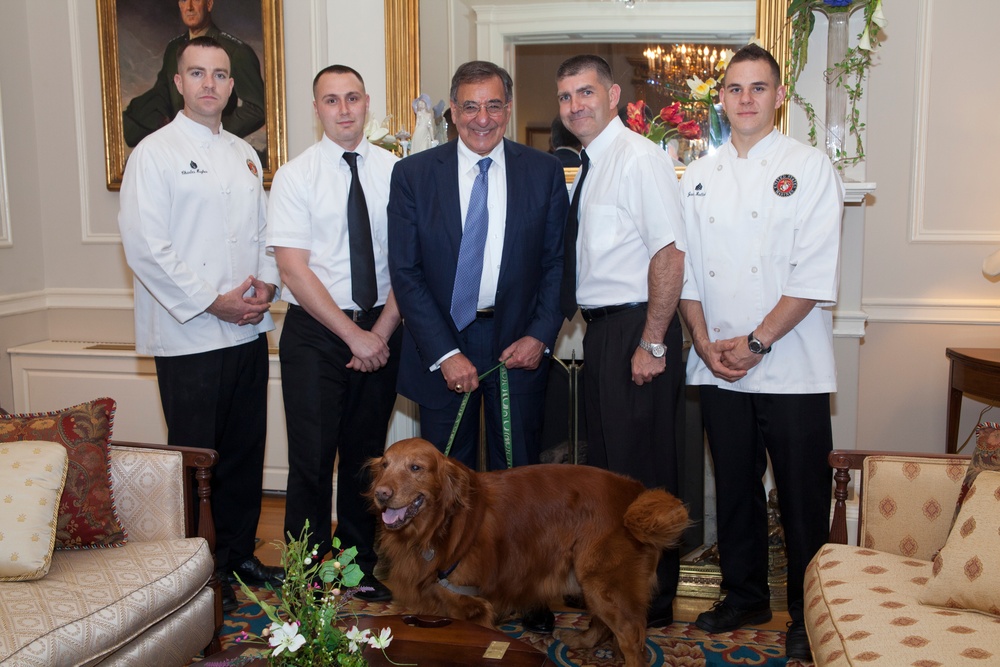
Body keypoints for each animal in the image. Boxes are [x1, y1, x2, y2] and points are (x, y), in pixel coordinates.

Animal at [368, 438, 688, 667]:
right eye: (385, 465)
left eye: (416, 468)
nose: (381, 494)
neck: (440, 526)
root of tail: (635, 493)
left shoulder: (470, 604)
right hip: (589, 576)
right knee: (603, 622)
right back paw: (582, 641)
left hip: (605, 581)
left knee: (632, 639)